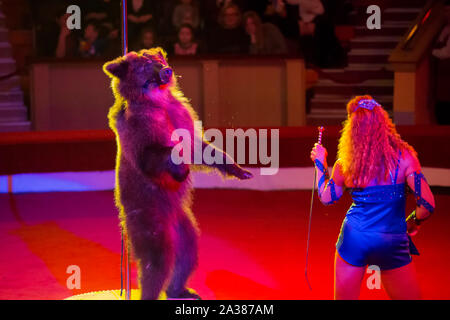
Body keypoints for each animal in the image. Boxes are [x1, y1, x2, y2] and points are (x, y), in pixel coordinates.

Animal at [103, 47, 253, 300]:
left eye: (158, 58)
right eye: (145, 65)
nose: (166, 70)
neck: (157, 100)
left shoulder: (180, 115)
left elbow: (202, 149)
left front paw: (239, 170)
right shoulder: (141, 131)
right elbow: (156, 154)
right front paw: (180, 168)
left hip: (183, 225)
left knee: (187, 253)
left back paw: (181, 289)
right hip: (149, 219)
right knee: (156, 262)